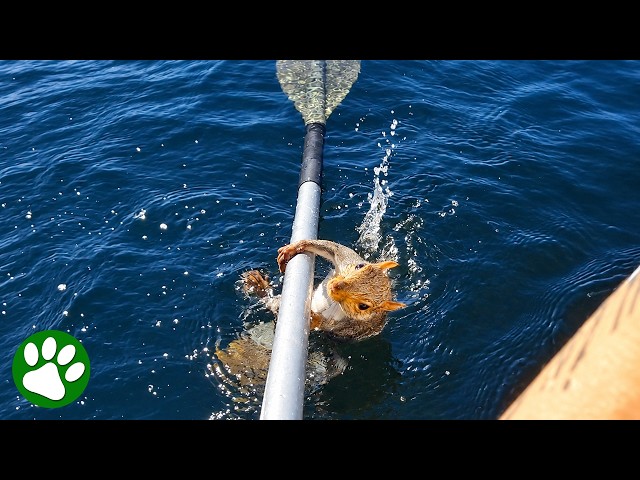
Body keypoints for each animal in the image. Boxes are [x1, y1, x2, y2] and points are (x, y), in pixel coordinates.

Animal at [213, 239, 406, 389]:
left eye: (363, 306)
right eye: (360, 266)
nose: (335, 286)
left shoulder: (354, 326)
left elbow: (329, 327)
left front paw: (315, 318)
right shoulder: (345, 259)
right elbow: (334, 248)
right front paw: (295, 247)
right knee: (269, 300)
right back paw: (257, 284)